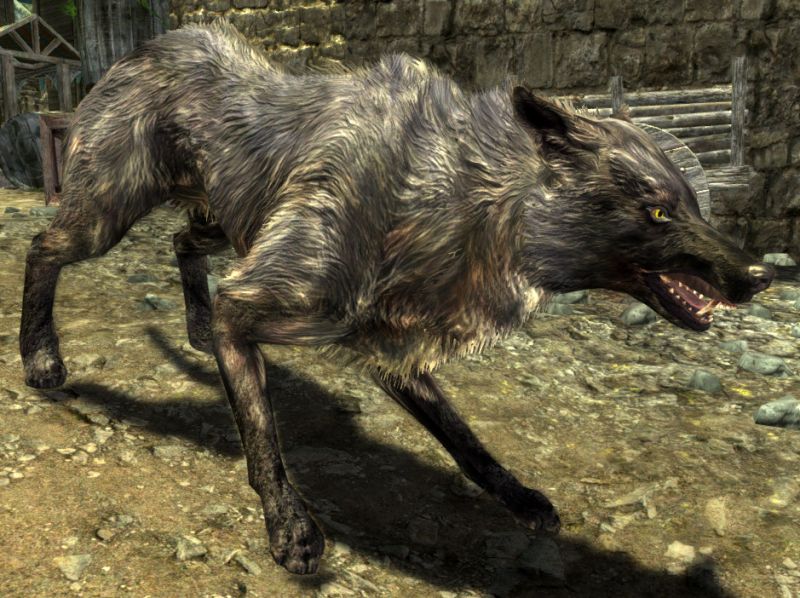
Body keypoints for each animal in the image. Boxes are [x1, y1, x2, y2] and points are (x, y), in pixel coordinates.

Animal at [20, 22, 774, 574]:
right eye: (656, 213)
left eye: (693, 205)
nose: (761, 275)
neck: (458, 201)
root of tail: (146, 49)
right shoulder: (257, 308)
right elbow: (264, 439)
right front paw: (289, 527)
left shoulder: (395, 352)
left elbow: (464, 437)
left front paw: (516, 494)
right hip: (105, 216)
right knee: (40, 246)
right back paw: (41, 358)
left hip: (220, 219)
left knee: (180, 241)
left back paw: (194, 326)